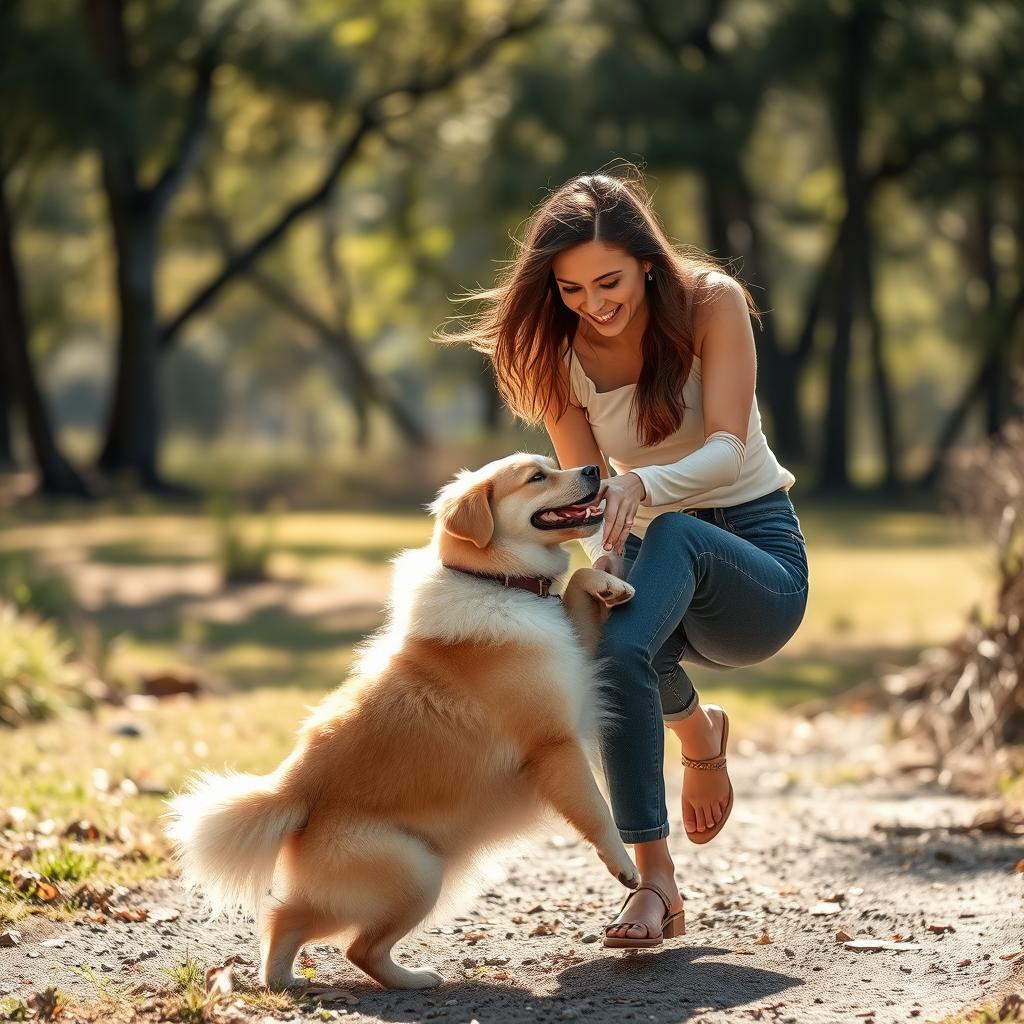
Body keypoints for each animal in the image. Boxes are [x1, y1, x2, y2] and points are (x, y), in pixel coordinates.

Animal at [164, 452, 634, 987]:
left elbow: (577, 586)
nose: (594, 470)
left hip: (419, 875)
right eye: (536, 478)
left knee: (324, 932)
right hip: (417, 874)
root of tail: (293, 788)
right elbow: (597, 813)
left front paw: (609, 583)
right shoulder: (555, 746)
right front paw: (624, 867)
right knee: (331, 936)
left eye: (551, 464)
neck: (499, 583)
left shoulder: (576, 658)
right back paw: (349, 980)